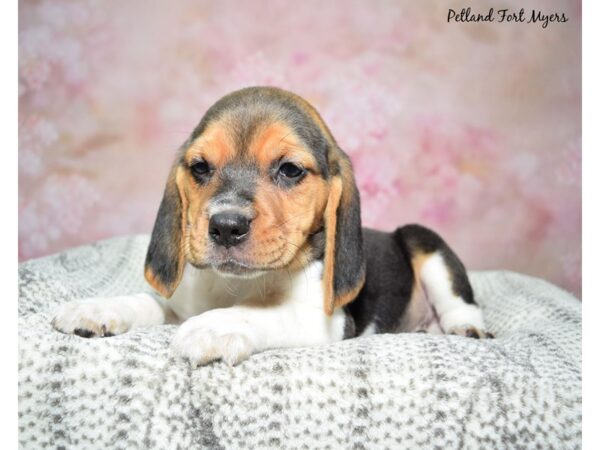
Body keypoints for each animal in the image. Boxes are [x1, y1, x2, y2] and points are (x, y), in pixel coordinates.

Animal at [51, 87, 492, 366]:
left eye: (290, 170)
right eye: (200, 167)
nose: (226, 226)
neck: (237, 285)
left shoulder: (326, 321)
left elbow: (260, 312)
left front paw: (215, 325)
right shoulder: (180, 305)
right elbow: (149, 302)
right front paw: (98, 308)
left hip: (422, 238)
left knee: (459, 300)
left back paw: (465, 327)